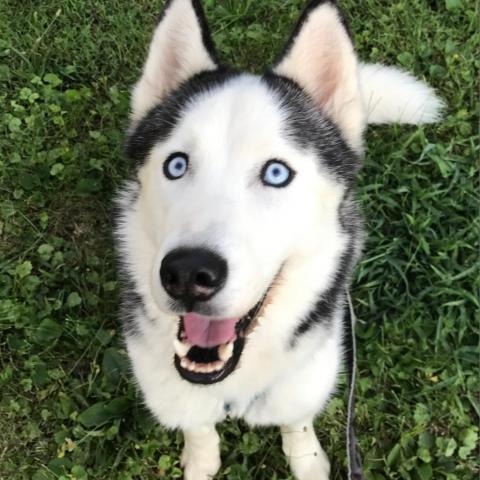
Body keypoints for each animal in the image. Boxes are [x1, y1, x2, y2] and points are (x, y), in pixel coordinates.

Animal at [115, 1, 442, 478]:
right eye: (176, 165)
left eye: (275, 173)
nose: (188, 273)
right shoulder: (171, 386)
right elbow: (199, 429)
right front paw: (202, 461)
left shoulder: (306, 376)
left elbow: (297, 422)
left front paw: (307, 461)